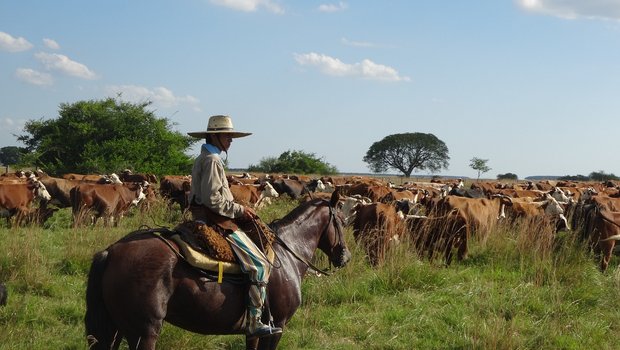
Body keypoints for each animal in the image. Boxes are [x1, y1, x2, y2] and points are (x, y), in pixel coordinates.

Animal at [85, 190, 352, 348]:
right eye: (341, 220)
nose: (345, 256)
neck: (287, 253)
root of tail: (111, 252)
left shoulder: (254, 333)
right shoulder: (277, 327)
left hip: (117, 329)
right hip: (144, 332)